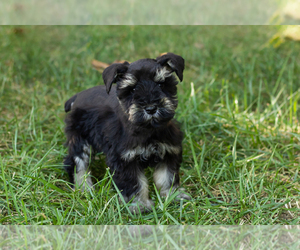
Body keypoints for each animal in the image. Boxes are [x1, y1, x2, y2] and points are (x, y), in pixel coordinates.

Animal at [63, 52, 191, 213]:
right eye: (133, 89)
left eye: (161, 84)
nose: (151, 108)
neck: (148, 130)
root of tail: (76, 98)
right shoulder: (124, 159)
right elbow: (135, 183)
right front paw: (139, 205)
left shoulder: (169, 152)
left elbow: (167, 177)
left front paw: (173, 197)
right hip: (80, 141)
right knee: (77, 163)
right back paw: (84, 189)